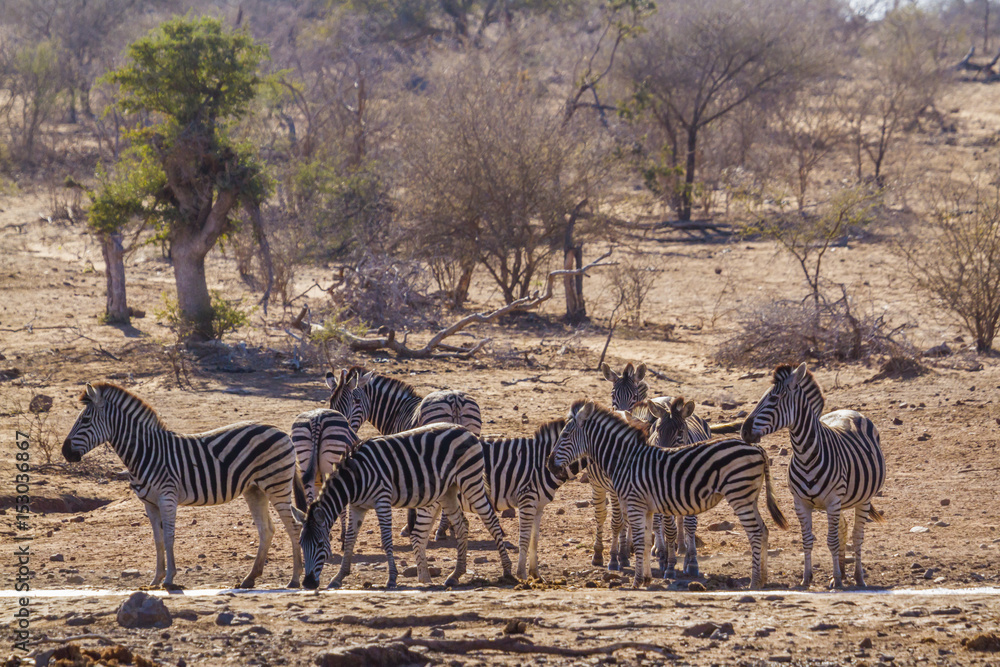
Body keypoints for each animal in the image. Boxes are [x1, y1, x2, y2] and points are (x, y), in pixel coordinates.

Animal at [61, 382, 306, 589]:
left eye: (85, 420)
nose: (64, 452)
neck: (144, 452)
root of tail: (279, 429)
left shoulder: (167, 497)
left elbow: (169, 536)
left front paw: (169, 579)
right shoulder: (149, 503)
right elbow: (158, 539)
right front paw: (155, 580)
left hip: (276, 484)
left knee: (294, 526)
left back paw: (294, 580)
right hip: (254, 490)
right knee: (267, 530)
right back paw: (249, 579)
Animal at [299, 423, 514, 589]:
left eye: (320, 544)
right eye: (302, 544)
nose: (308, 584)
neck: (354, 479)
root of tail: (466, 431)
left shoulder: (382, 499)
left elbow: (386, 540)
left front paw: (392, 578)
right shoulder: (357, 506)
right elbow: (351, 539)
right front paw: (338, 577)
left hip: (471, 480)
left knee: (491, 521)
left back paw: (507, 571)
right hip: (448, 491)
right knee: (461, 526)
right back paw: (455, 575)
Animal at [414, 419, 585, 580]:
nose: (550, 465)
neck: (539, 463)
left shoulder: (539, 506)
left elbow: (534, 539)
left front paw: (536, 574)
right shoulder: (527, 498)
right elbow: (524, 537)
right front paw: (522, 574)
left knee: (422, 536)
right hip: (431, 500)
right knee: (418, 535)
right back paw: (425, 578)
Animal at [548, 400, 788, 589]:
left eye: (565, 435)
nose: (549, 464)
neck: (625, 458)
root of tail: (758, 448)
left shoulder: (635, 503)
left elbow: (640, 540)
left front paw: (637, 582)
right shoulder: (644, 507)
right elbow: (645, 541)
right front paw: (645, 579)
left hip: (740, 495)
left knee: (756, 533)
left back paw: (754, 582)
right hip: (750, 497)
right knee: (764, 530)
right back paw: (762, 579)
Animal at [741, 362, 886, 589]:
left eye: (774, 399)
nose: (744, 431)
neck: (805, 455)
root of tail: (849, 411)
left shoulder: (833, 501)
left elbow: (832, 541)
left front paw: (837, 580)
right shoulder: (801, 504)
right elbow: (807, 540)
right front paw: (807, 578)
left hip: (864, 498)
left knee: (857, 535)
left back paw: (857, 577)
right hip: (841, 502)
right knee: (843, 529)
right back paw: (842, 572)